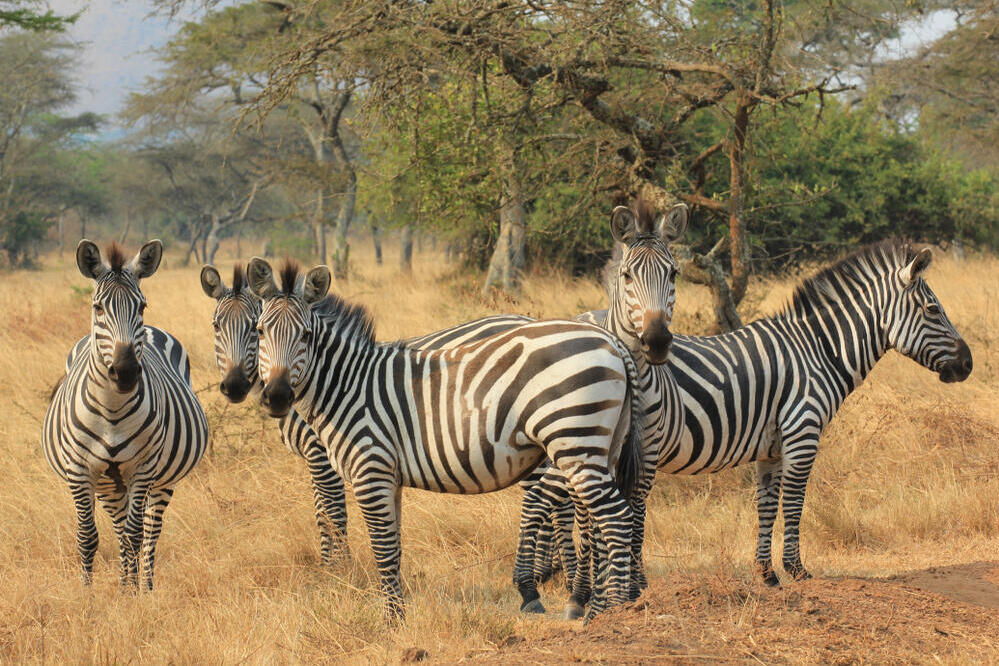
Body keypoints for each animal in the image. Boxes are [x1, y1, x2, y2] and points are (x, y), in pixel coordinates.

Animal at [43, 240, 209, 589]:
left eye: (142, 307)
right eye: (97, 308)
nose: (126, 372)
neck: (112, 409)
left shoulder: (143, 468)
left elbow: (136, 536)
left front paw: (132, 595)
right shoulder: (80, 471)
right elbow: (87, 537)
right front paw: (88, 595)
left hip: (161, 480)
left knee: (149, 531)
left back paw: (144, 585)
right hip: (109, 483)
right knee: (119, 529)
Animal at [201, 264, 349, 564]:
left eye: (253, 328)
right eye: (216, 326)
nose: (234, 386)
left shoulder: (319, 452)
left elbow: (332, 511)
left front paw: (338, 566)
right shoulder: (316, 456)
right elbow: (322, 509)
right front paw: (332, 563)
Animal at [245, 257, 647, 619]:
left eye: (306, 336)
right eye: (261, 332)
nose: (277, 396)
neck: (348, 386)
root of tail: (610, 340)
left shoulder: (371, 470)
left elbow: (382, 548)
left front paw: (391, 621)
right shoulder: (389, 477)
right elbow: (394, 548)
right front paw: (398, 614)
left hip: (575, 440)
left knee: (614, 516)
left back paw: (610, 611)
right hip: (600, 445)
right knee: (599, 517)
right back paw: (595, 604)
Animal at [522, 238, 973, 590]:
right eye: (933, 310)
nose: (968, 364)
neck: (819, 351)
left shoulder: (771, 448)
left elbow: (767, 505)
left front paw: (766, 574)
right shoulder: (802, 431)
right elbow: (794, 502)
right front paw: (796, 570)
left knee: (563, 500)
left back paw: (568, 577)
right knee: (550, 498)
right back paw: (576, 580)